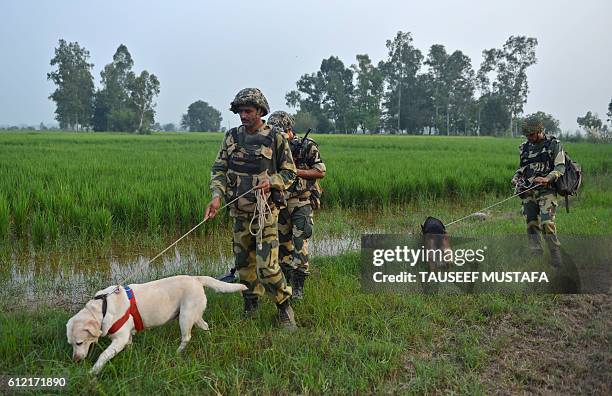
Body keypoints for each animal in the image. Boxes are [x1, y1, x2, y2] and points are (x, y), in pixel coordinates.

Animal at [67, 276, 246, 374]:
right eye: (71, 344)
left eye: (79, 343)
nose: (75, 361)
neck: (102, 309)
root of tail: (196, 278)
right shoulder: (126, 337)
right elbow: (129, 346)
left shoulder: (119, 338)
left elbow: (103, 355)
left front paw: (93, 371)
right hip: (194, 315)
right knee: (205, 325)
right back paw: (208, 338)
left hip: (185, 317)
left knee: (187, 337)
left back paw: (178, 352)